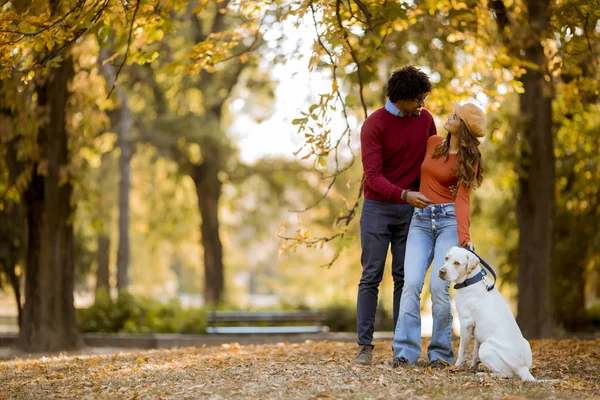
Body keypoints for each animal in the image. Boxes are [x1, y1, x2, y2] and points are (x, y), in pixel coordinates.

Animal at [436, 247, 536, 382]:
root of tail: (522, 367)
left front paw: (456, 367)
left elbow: (462, 351)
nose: (441, 271)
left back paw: (484, 375)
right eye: (446, 258)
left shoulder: (466, 324)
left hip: (486, 347)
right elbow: (474, 354)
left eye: (456, 263)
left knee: (505, 374)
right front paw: (473, 367)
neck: (470, 280)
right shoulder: (477, 332)